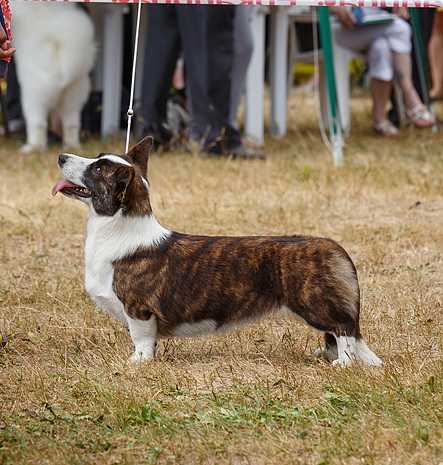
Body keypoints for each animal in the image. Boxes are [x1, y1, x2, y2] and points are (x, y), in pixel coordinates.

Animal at [10, 2, 95, 153]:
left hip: (33, 94)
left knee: (38, 124)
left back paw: (32, 148)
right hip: (75, 93)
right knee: (71, 124)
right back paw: (72, 146)